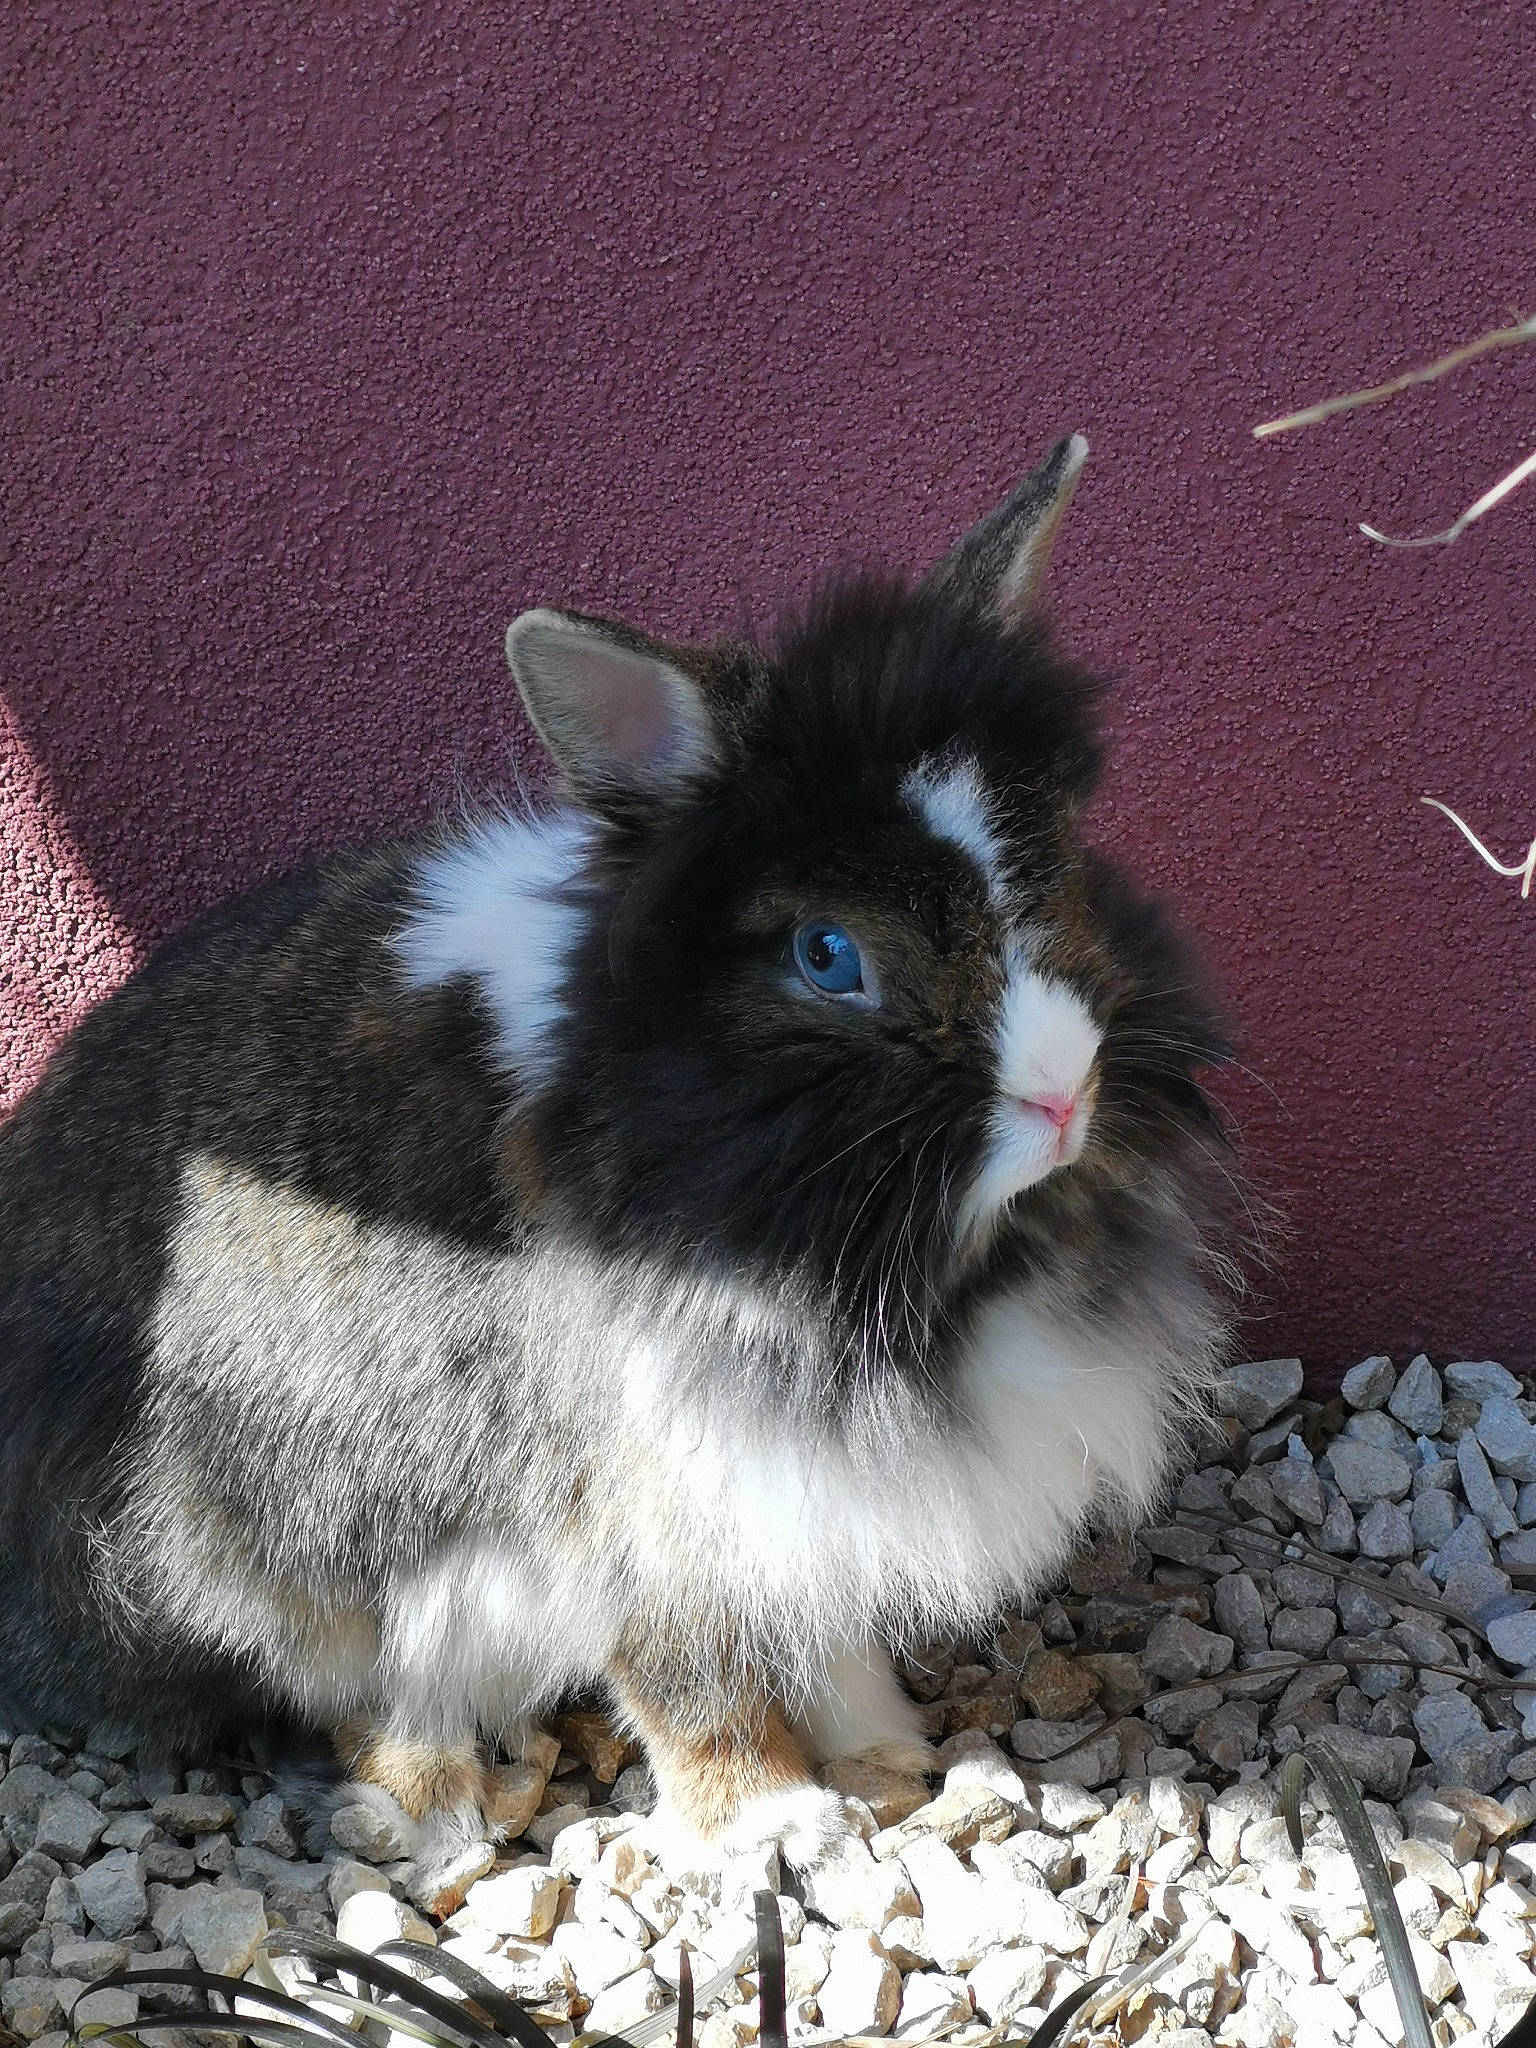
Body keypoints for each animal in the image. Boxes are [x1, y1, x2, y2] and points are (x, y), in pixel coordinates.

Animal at [0, 434, 1233, 1903]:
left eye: (1053, 872)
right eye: (827, 955)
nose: (1062, 1093)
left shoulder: (797, 1494)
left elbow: (815, 1626)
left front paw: (886, 1750)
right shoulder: (639, 1491)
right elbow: (691, 1675)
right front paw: (774, 1825)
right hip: (268, 1533)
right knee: (344, 1686)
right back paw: (435, 1810)